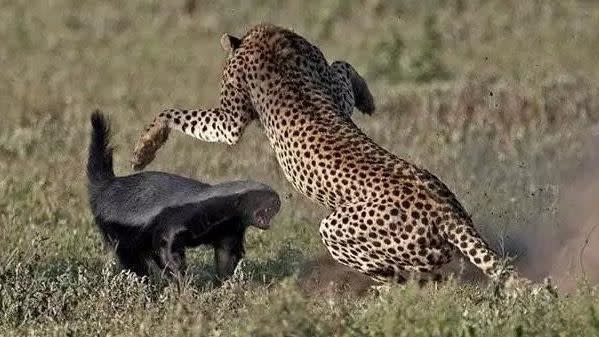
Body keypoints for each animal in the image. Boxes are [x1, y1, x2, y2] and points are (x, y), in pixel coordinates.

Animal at [130, 23, 536, 288]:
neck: (273, 41)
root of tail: (446, 212)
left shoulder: (230, 122)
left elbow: (174, 113)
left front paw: (144, 149)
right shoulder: (333, 91)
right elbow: (342, 66)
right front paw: (368, 99)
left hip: (337, 228)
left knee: (409, 271)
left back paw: (388, 286)